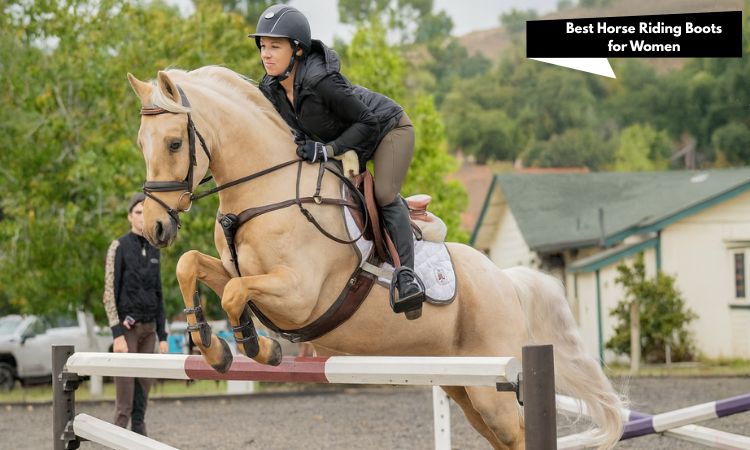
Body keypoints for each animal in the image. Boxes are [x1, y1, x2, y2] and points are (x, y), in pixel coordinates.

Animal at [127, 66, 624, 449]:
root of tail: (505, 280)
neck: (264, 191)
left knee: (517, 433)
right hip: (465, 385)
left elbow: (234, 294)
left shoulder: (298, 295)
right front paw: (211, 348)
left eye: (174, 143)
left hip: (494, 389)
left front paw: (257, 346)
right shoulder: (236, 269)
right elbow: (191, 265)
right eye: (140, 144)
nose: (155, 227)